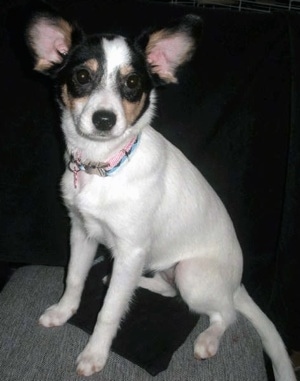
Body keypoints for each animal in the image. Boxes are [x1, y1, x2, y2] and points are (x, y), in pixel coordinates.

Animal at [26, 8, 296, 378]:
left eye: (132, 84)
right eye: (82, 76)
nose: (104, 119)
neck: (105, 166)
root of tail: (237, 283)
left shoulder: (132, 250)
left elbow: (108, 312)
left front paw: (95, 354)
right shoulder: (82, 231)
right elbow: (75, 278)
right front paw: (63, 311)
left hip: (191, 274)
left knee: (226, 314)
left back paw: (208, 340)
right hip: (164, 269)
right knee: (167, 289)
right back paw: (132, 281)